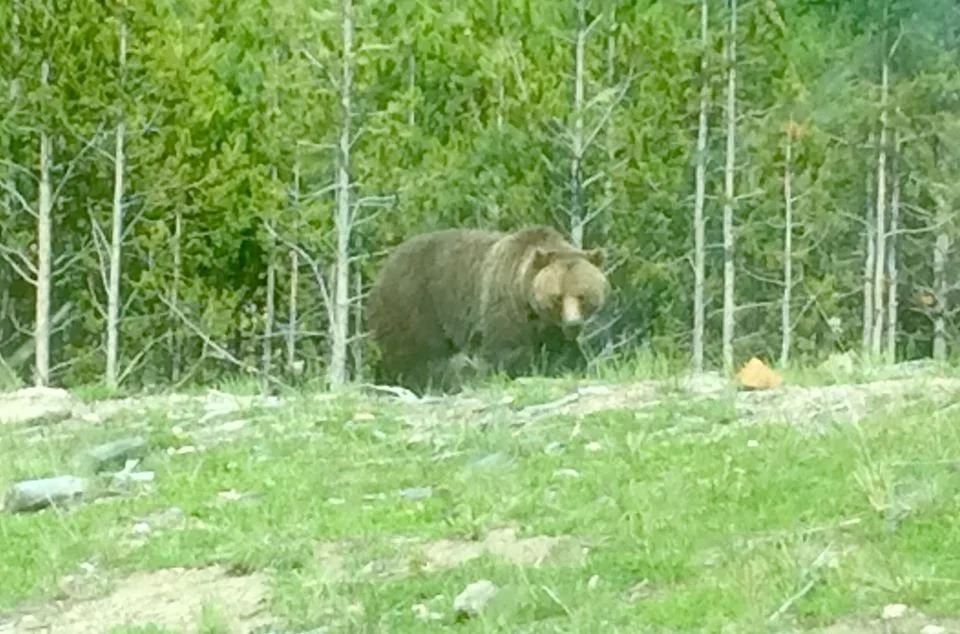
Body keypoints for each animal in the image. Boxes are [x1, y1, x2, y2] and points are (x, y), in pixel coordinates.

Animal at [365, 225, 608, 395]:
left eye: (583, 296)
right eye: (557, 297)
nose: (574, 324)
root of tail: (382, 269)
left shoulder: (551, 327)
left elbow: (564, 352)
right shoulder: (503, 305)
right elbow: (505, 350)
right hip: (414, 303)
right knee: (417, 354)